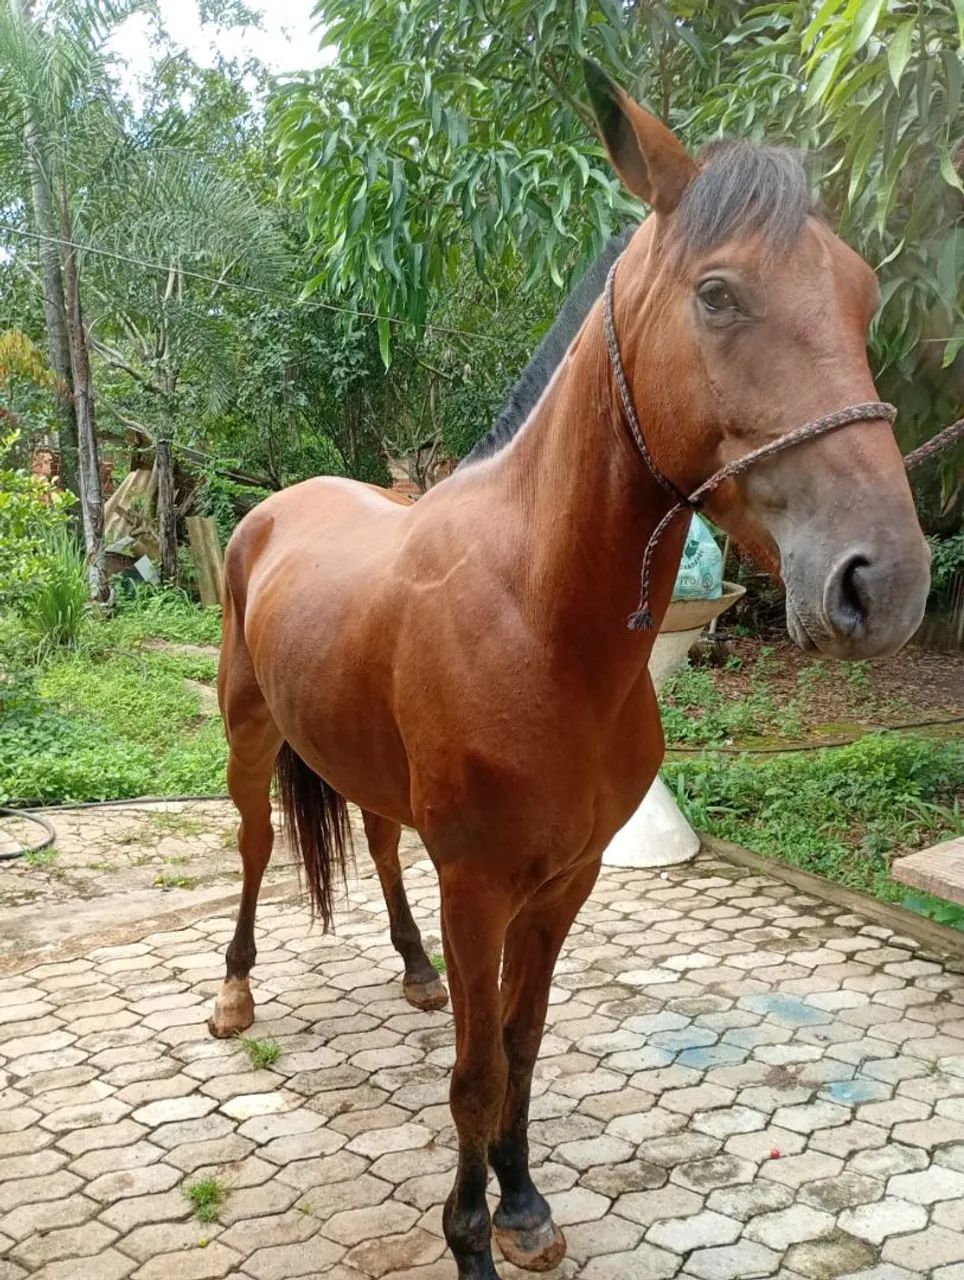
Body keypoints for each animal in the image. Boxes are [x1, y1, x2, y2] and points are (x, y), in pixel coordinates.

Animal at [208, 62, 930, 1280]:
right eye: (717, 295)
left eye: (863, 296)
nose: (883, 583)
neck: (538, 623)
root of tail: (275, 508)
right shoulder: (480, 887)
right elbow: (473, 1074)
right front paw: (470, 1236)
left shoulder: (565, 883)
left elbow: (523, 1042)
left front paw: (523, 1202)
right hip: (250, 737)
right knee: (260, 851)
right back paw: (234, 991)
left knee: (378, 843)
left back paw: (411, 969)